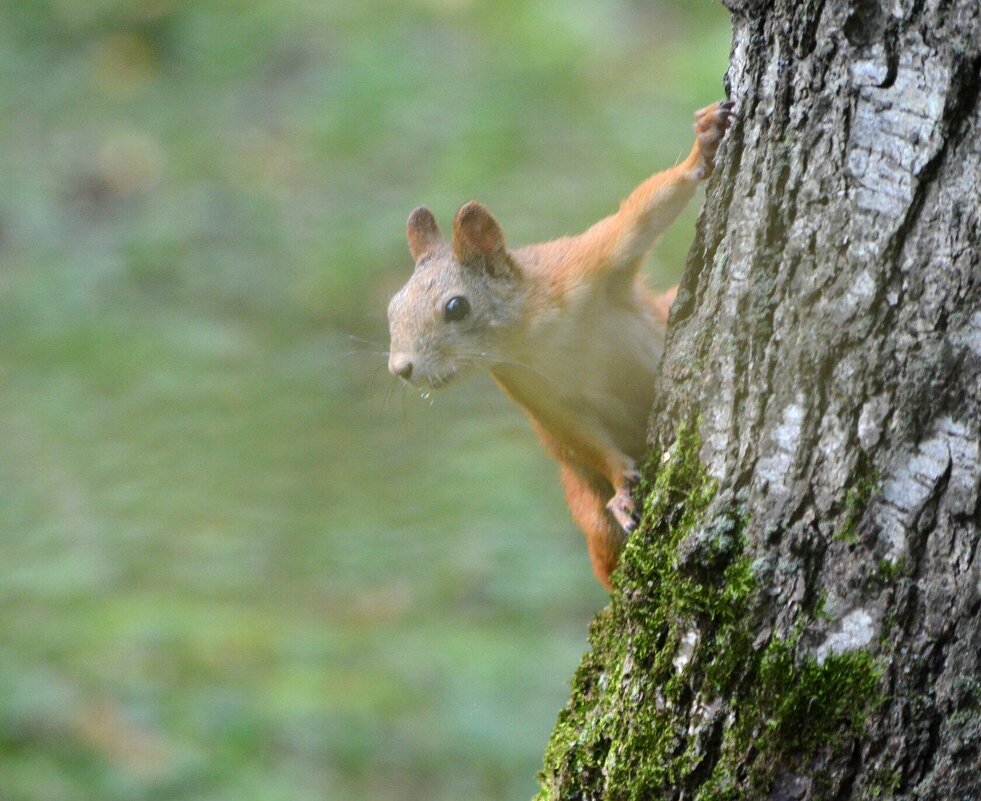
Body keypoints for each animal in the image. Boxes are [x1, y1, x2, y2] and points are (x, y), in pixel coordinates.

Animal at [386, 98, 732, 588]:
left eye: (455, 307)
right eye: (393, 307)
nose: (401, 368)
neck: (536, 336)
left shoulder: (586, 263)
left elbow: (643, 213)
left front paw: (701, 149)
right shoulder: (531, 387)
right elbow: (577, 431)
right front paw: (622, 484)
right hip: (584, 500)